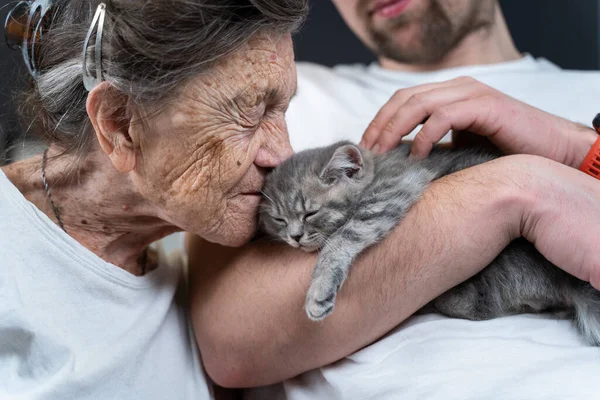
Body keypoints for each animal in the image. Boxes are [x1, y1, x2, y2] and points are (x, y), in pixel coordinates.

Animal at [260, 142, 600, 346]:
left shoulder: (392, 190)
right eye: (279, 220)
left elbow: (345, 235)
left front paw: (319, 289)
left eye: (310, 213)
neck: (378, 170)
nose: (294, 236)